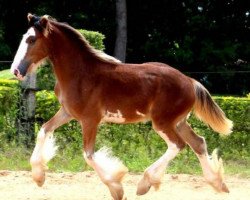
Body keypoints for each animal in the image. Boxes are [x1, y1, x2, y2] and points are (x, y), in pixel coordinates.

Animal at [9, 14, 232, 200]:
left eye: (31, 40)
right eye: (24, 37)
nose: (16, 71)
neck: (80, 74)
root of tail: (190, 81)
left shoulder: (90, 120)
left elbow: (88, 155)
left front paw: (117, 188)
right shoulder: (67, 113)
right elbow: (44, 130)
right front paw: (39, 177)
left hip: (163, 122)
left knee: (178, 145)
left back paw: (145, 183)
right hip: (178, 122)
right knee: (198, 143)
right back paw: (218, 184)